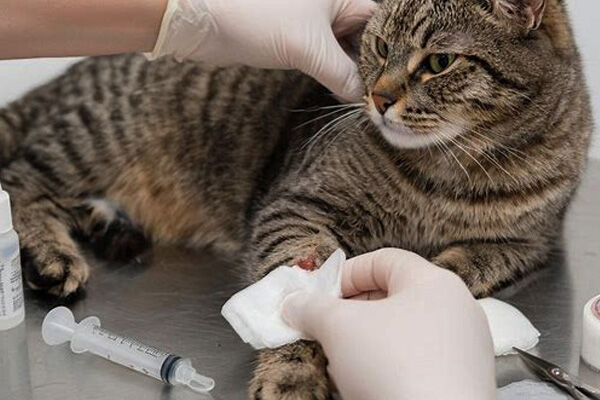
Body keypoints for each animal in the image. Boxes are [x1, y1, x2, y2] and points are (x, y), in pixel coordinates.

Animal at [0, 0, 592, 398]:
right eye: (379, 47)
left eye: (439, 61)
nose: (377, 97)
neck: (453, 171)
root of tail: (72, 72)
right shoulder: (297, 207)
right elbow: (295, 292)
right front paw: (294, 374)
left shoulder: (527, 245)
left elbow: (465, 266)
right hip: (94, 140)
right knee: (20, 179)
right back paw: (52, 258)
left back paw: (105, 227)